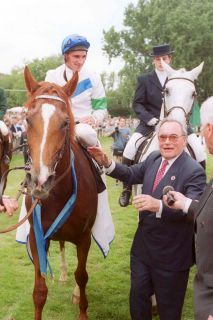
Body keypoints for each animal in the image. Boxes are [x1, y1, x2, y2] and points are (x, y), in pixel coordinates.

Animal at [23, 65, 97, 320]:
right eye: (27, 119)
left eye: (65, 122)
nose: (40, 180)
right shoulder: (36, 236)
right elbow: (39, 291)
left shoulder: (84, 237)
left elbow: (82, 277)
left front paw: (82, 308)